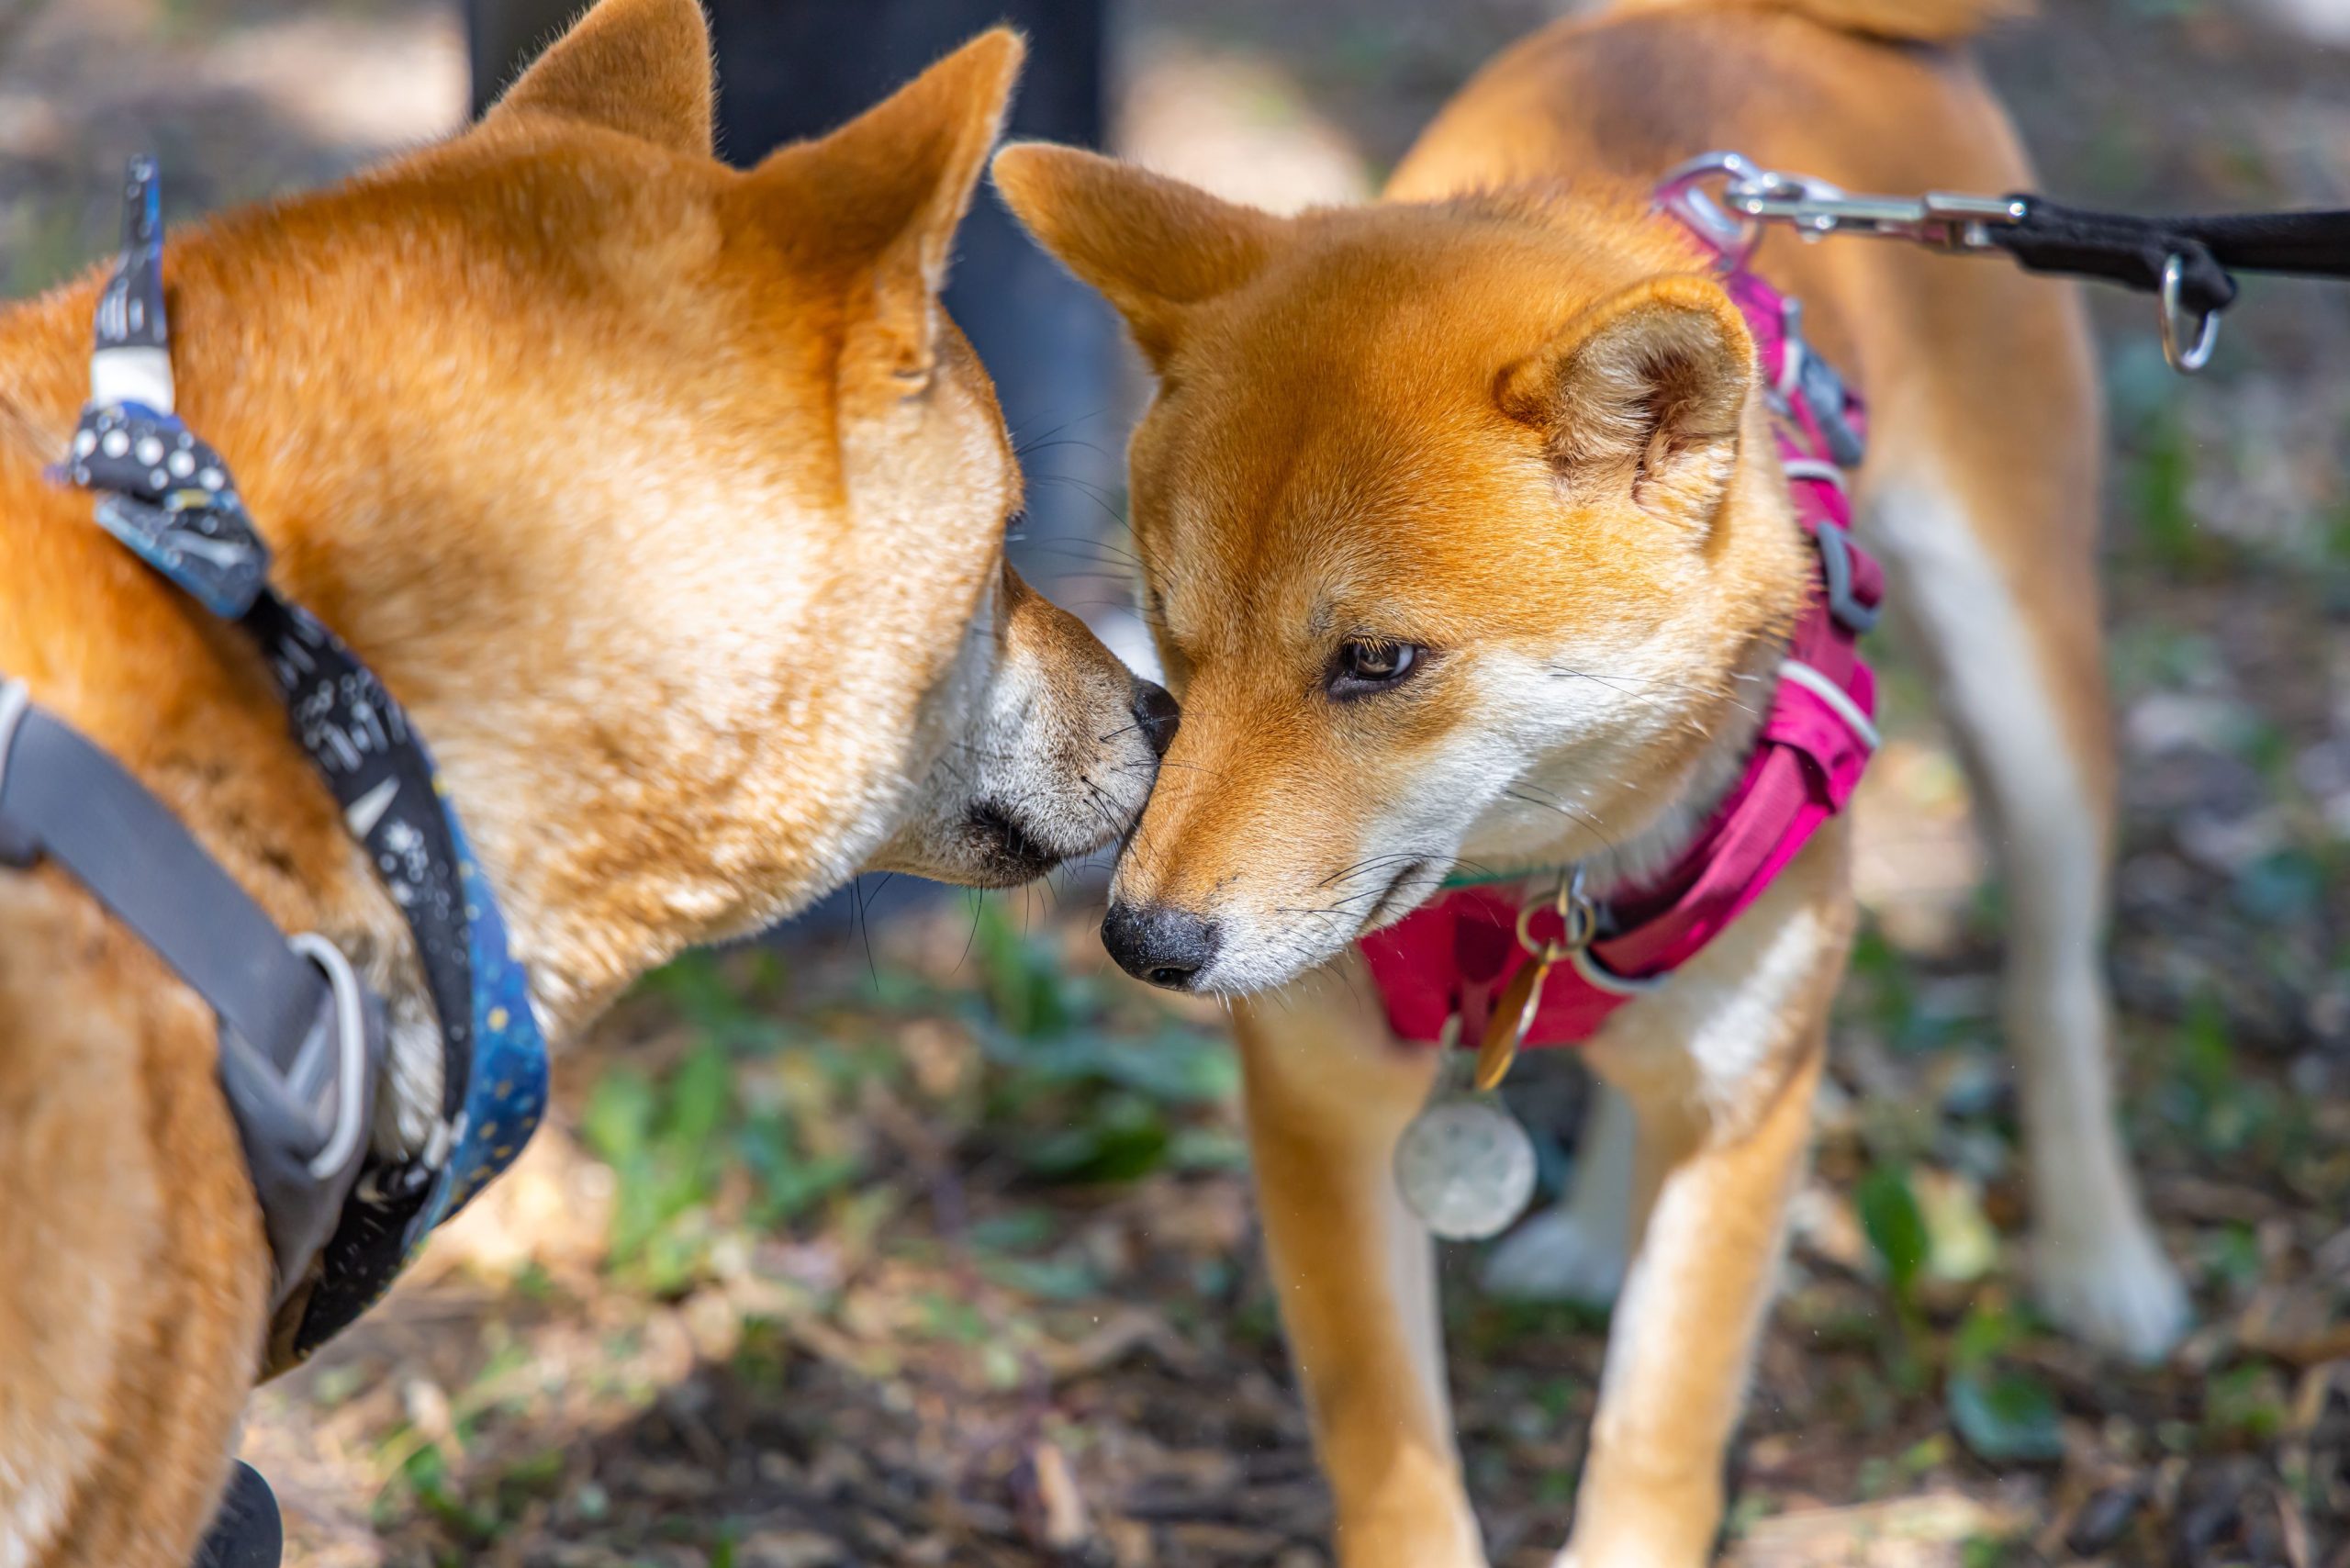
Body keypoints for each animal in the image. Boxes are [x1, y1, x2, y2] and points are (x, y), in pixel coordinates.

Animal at [996, 0, 2180, 1561]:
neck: (1533, 892)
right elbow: (1389, 1460)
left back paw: (2103, 1259)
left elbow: (1659, 1433)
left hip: (2023, 698)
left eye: (1376, 661)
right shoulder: (1322, 1105)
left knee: (2054, 992)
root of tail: (1770, 27)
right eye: (1168, 630)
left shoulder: (1750, 1114)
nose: (1142, 941)